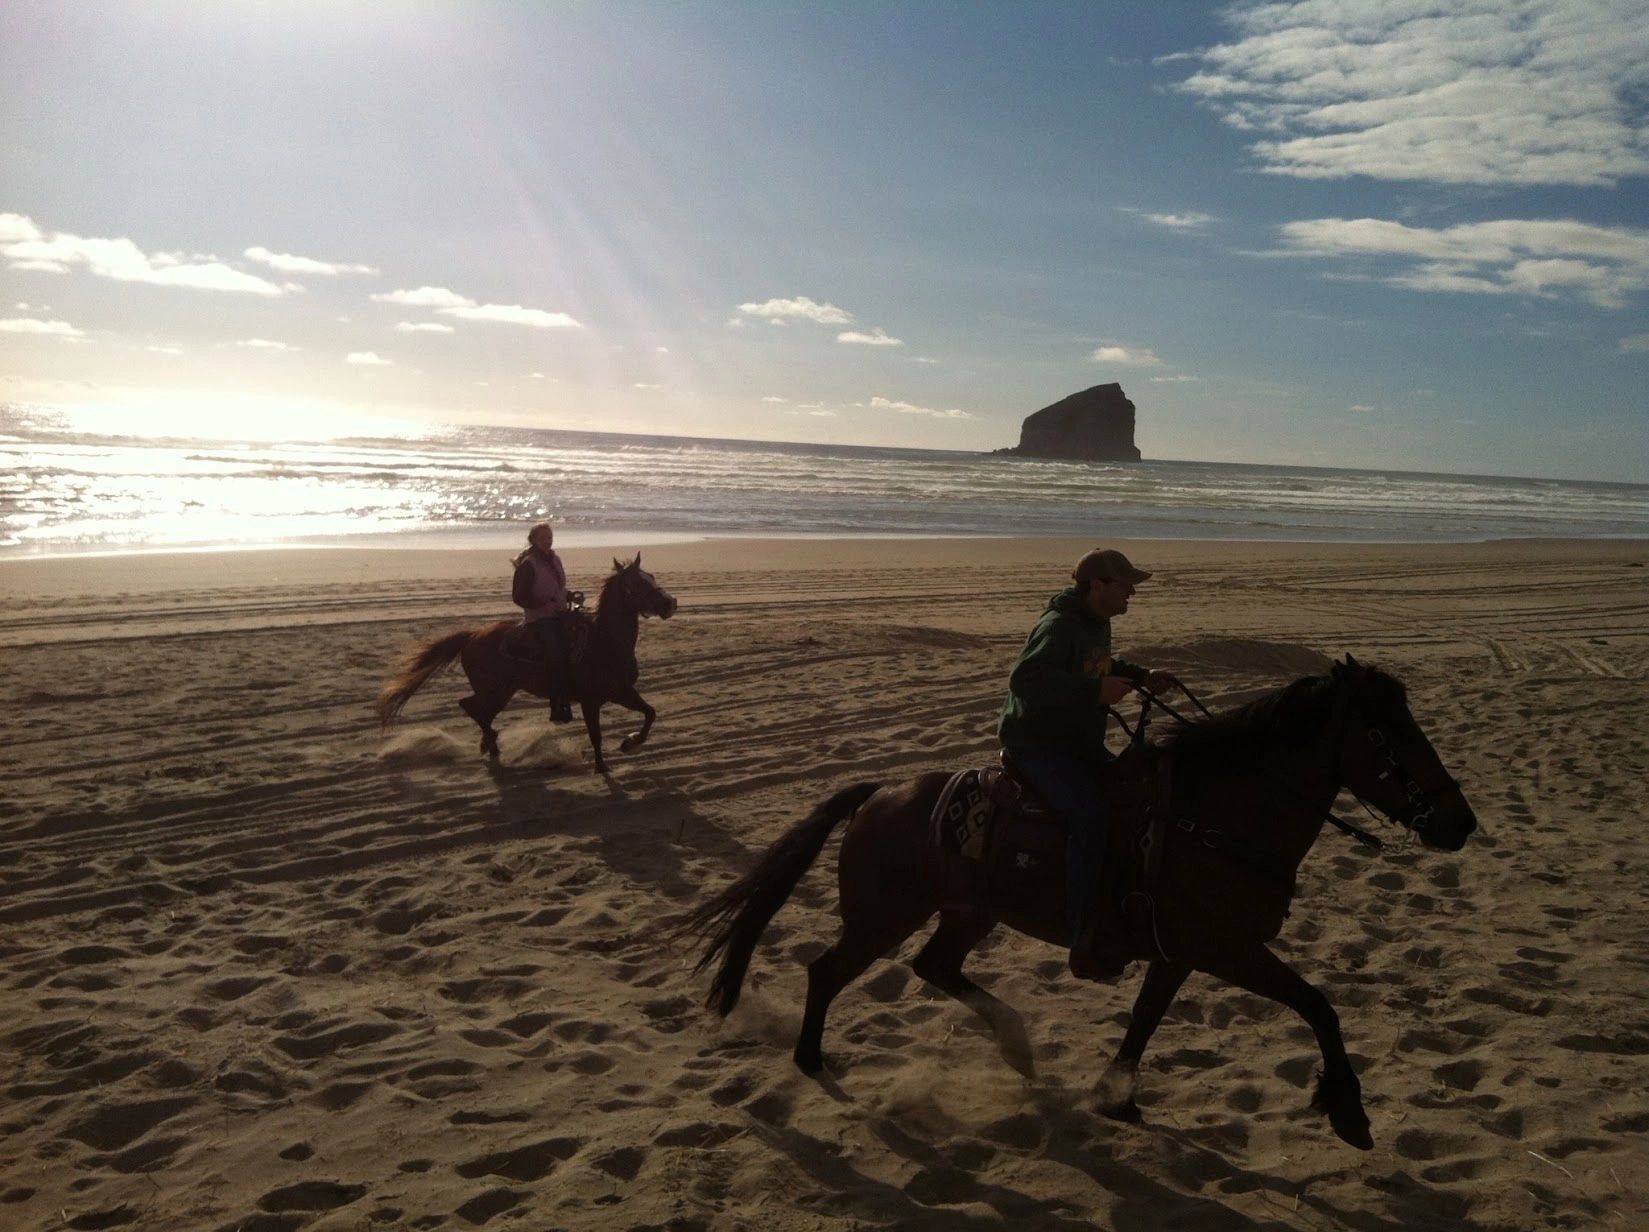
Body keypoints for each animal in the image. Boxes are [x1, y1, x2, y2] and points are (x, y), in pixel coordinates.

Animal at [377, 557, 672, 771]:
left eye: (652, 577)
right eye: (637, 583)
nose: (671, 603)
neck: (605, 641)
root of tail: (472, 635)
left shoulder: (621, 692)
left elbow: (650, 713)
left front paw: (629, 743)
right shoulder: (590, 701)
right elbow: (596, 734)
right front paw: (602, 766)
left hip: (502, 691)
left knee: (480, 711)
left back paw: (489, 744)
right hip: (495, 690)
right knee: (471, 707)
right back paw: (492, 742)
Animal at [682, 659, 1484, 1154]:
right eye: (1385, 733)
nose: (1458, 822)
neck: (1213, 816)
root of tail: (880, 791)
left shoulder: (1181, 954)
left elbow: (1145, 1021)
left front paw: (1114, 1095)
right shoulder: (1229, 950)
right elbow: (1319, 1006)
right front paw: (1348, 1111)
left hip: (968, 912)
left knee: (934, 967)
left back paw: (1016, 1045)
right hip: (884, 915)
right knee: (827, 971)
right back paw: (811, 1059)